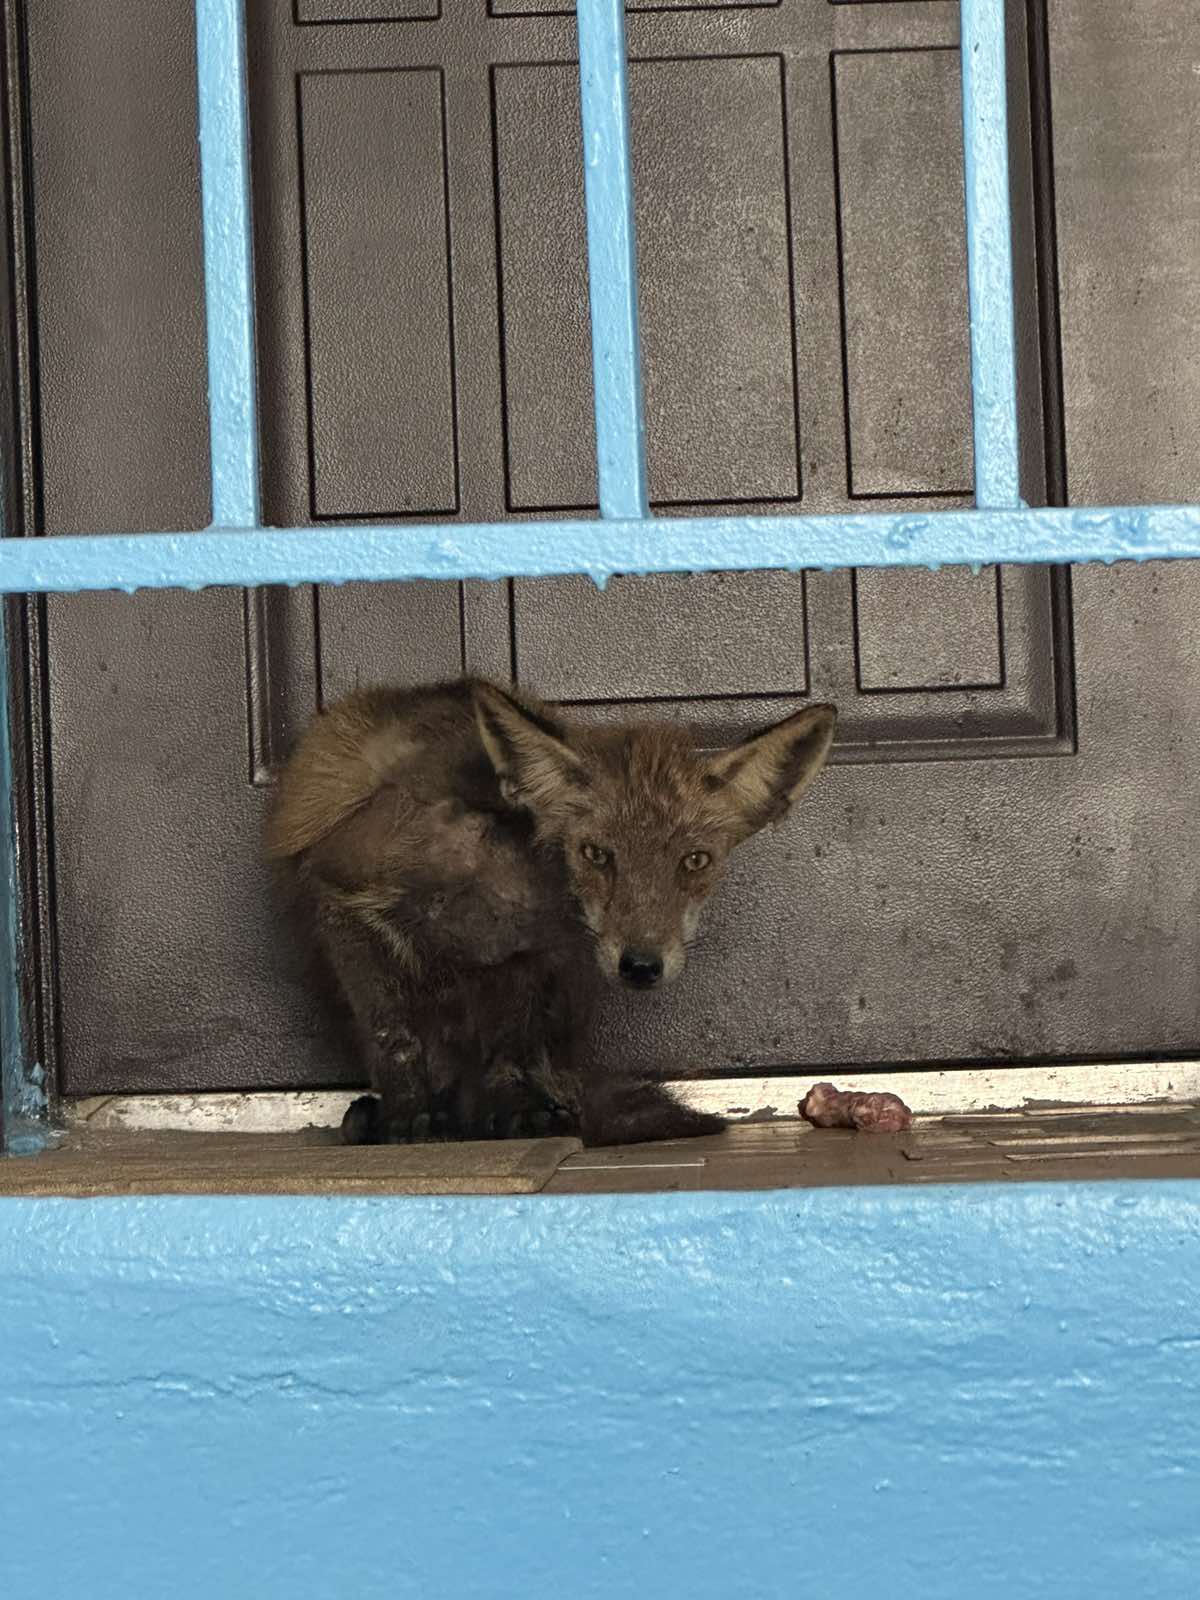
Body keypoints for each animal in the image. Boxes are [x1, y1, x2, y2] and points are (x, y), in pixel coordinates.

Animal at [267, 675, 838, 1152]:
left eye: (695, 860)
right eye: (596, 854)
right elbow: (394, 1038)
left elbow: (509, 1054)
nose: (641, 966)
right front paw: (407, 1117)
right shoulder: (342, 905)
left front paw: (518, 1113)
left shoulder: (531, 958)